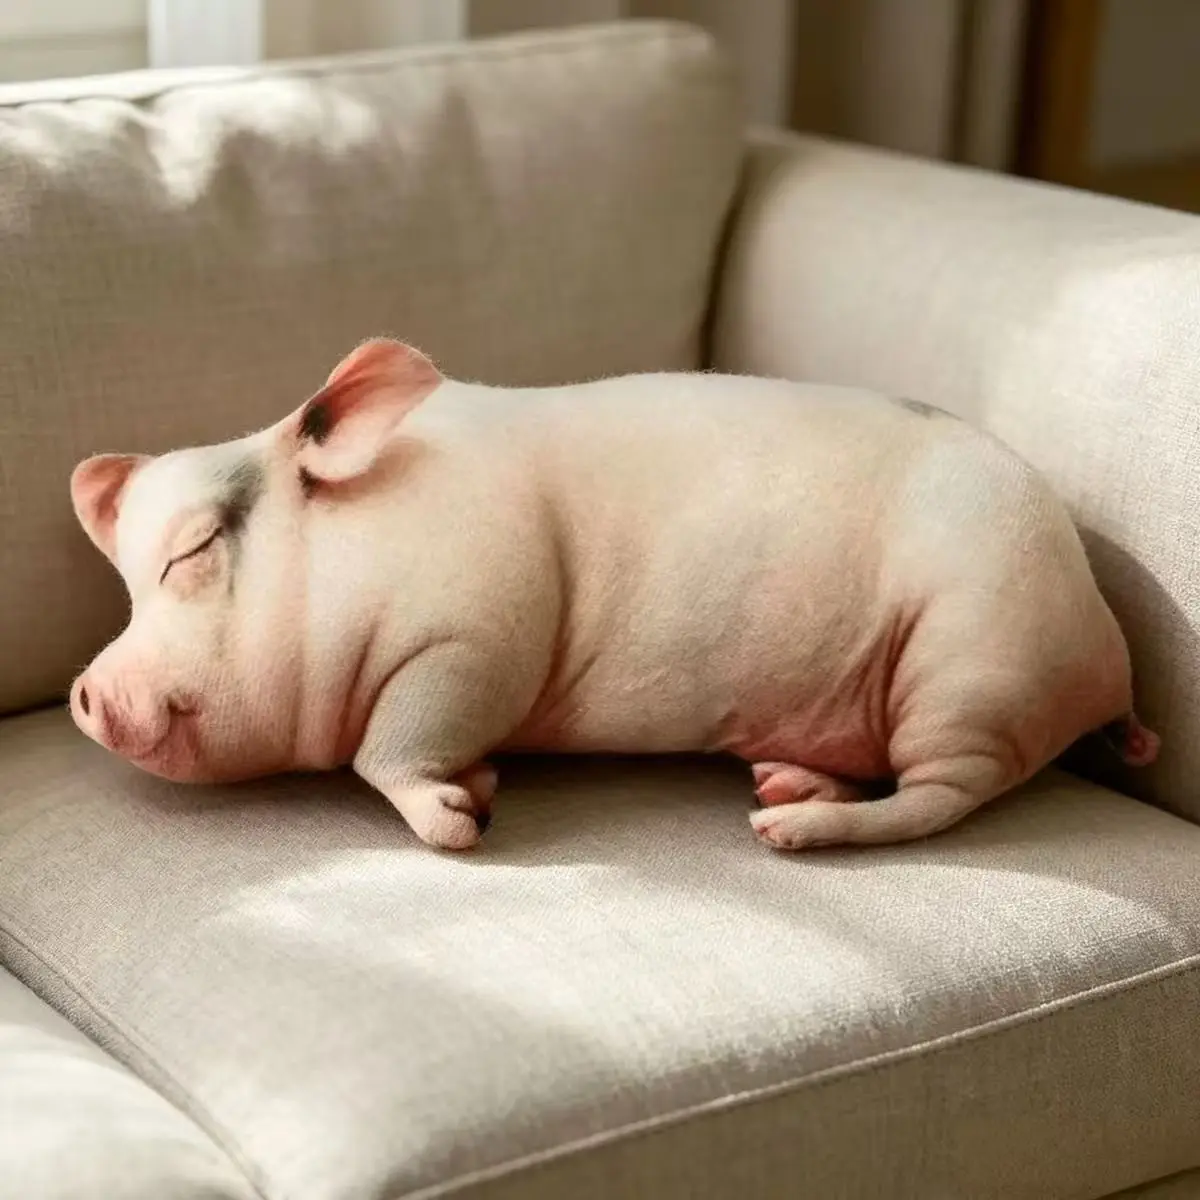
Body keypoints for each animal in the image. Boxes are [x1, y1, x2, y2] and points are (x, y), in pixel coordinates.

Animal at [68, 338, 1159, 852]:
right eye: (125, 583)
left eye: (193, 549)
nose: (86, 689)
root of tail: (1108, 646)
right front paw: (480, 792)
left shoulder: (472, 636)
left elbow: (394, 751)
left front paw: (468, 814)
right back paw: (783, 784)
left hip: (976, 665)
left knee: (942, 798)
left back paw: (783, 833)